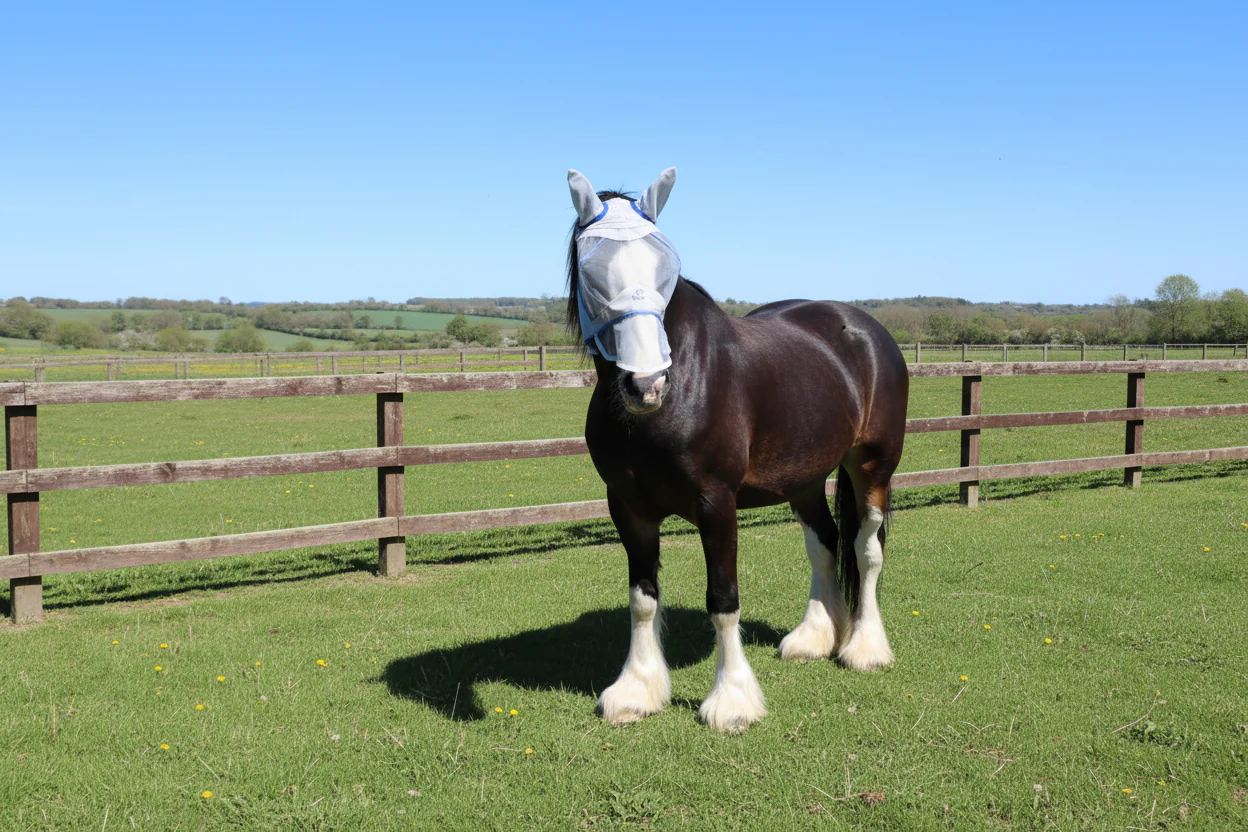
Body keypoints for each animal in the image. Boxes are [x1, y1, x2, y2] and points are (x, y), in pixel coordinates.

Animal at [566, 168, 909, 733]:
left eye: (666, 266)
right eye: (591, 270)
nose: (646, 385)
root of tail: (863, 328)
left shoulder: (716, 503)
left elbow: (723, 600)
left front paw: (732, 701)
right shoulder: (628, 507)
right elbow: (642, 599)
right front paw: (637, 690)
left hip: (873, 467)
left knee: (866, 548)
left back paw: (864, 647)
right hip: (804, 479)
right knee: (825, 542)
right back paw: (814, 637)